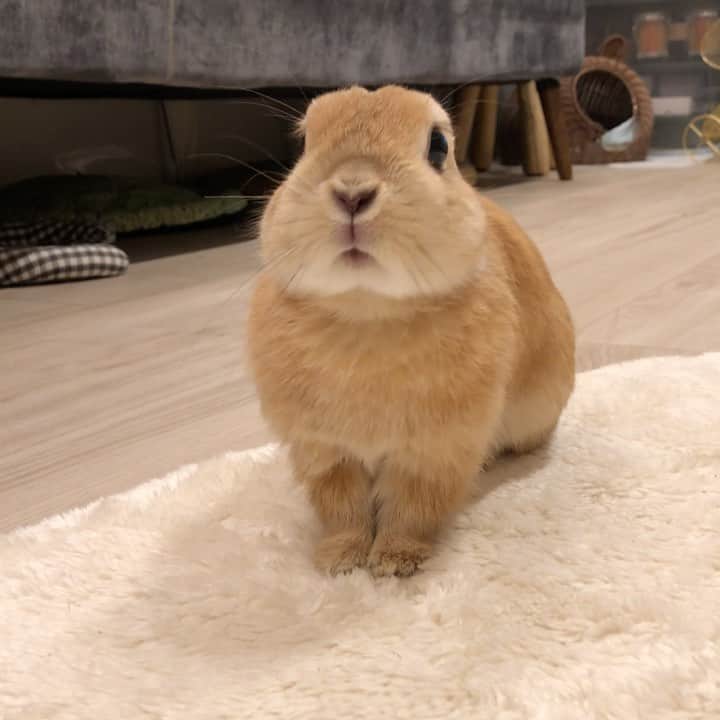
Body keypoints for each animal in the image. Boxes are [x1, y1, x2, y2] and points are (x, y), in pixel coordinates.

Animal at [247, 85, 575, 578]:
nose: (352, 192)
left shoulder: (434, 453)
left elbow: (413, 508)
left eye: (438, 147)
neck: (366, 310)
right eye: (303, 145)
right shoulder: (326, 453)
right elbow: (342, 510)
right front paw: (339, 562)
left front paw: (395, 562)